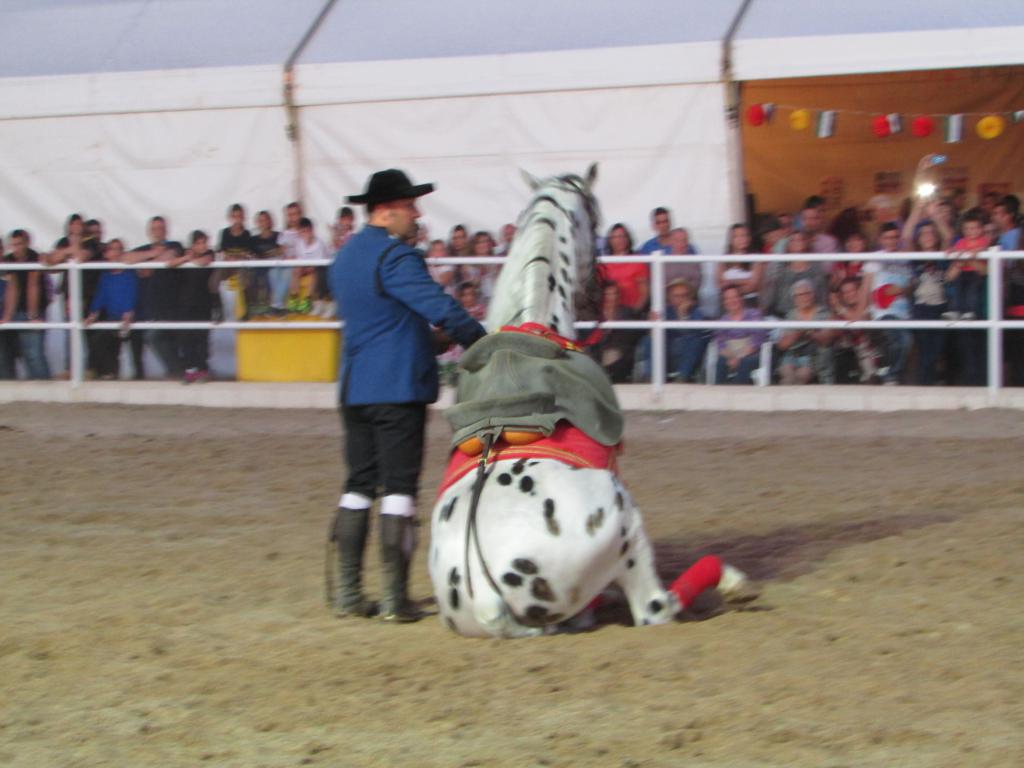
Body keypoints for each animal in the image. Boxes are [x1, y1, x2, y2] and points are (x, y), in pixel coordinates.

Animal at [427, 164, 748, 638]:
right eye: (595, 222)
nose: (597, 288)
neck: (535, 324)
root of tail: (488, 600)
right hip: (626, 520)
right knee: (654, 607)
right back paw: (727, 579)